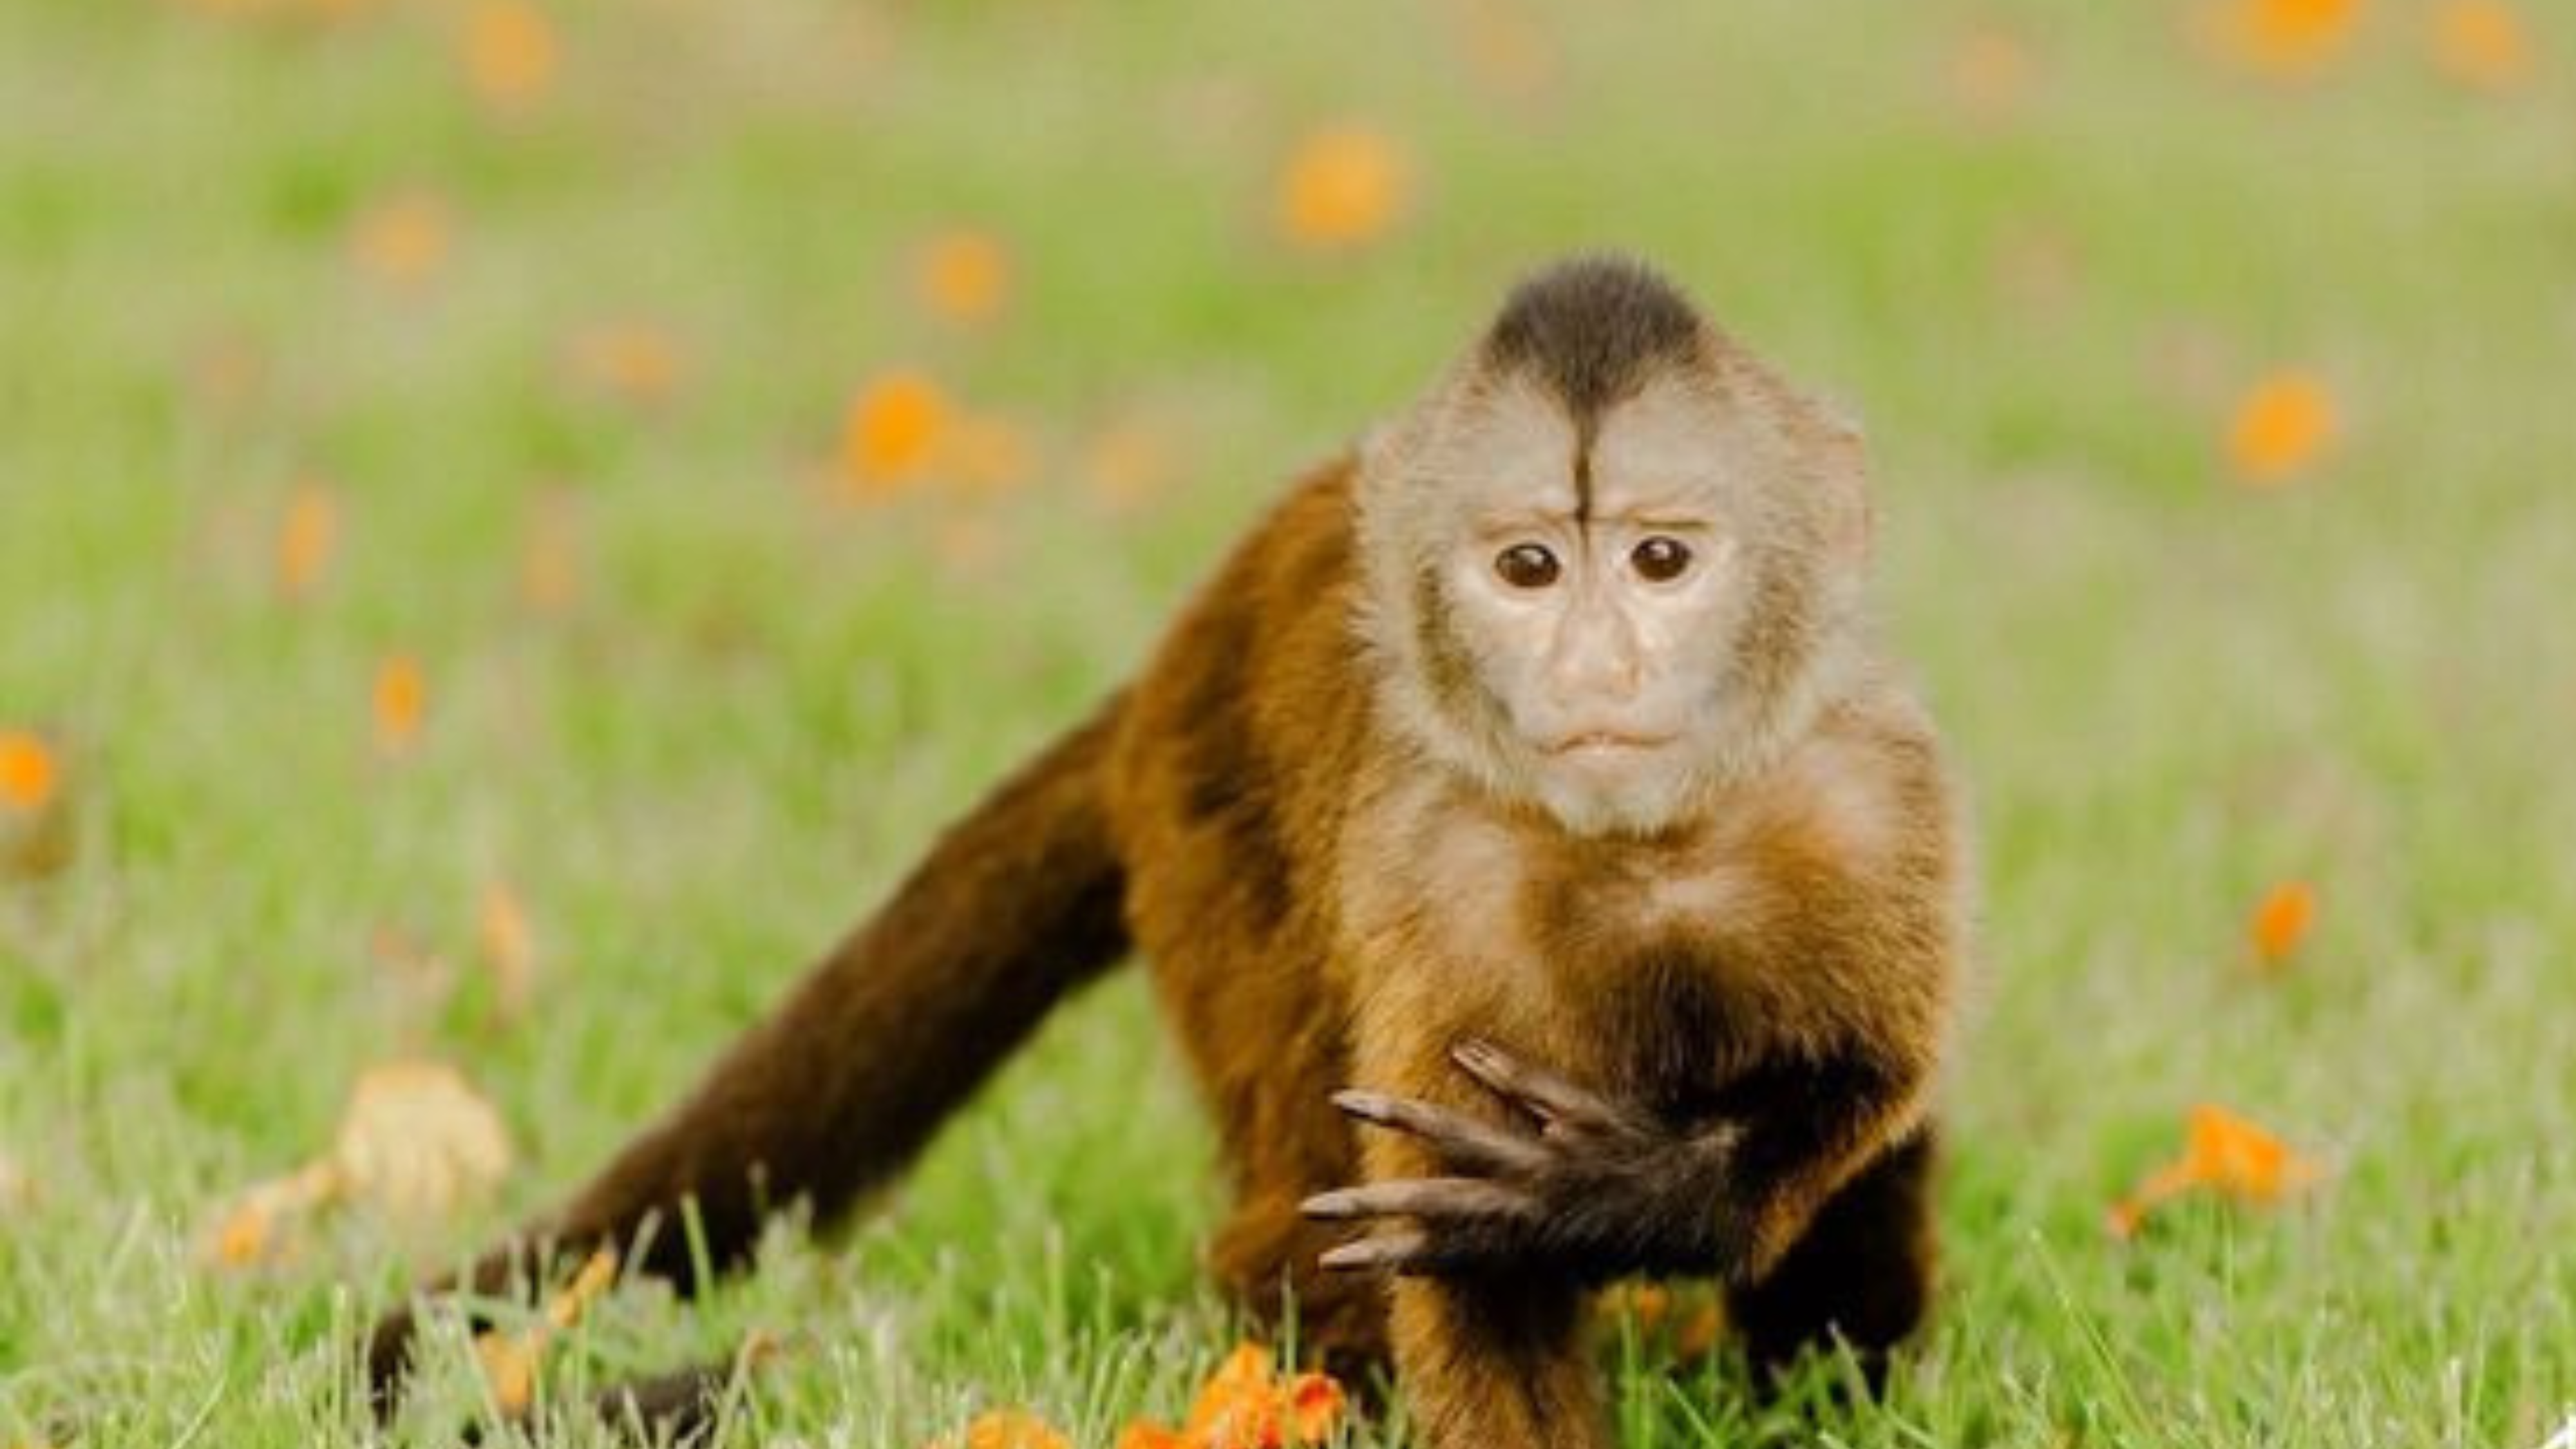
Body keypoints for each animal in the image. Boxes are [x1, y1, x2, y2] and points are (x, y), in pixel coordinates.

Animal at [365, 254, 1968, 1449]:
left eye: (1659, 559)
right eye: (1527, 567)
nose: (1594, 664)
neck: (1638, 847)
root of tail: (1158, 679)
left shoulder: (1870, 794)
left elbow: (1865, 1084)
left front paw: (1623, 1190)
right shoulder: (1430, 877)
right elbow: (1449, 1275)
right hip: (1207, 848)